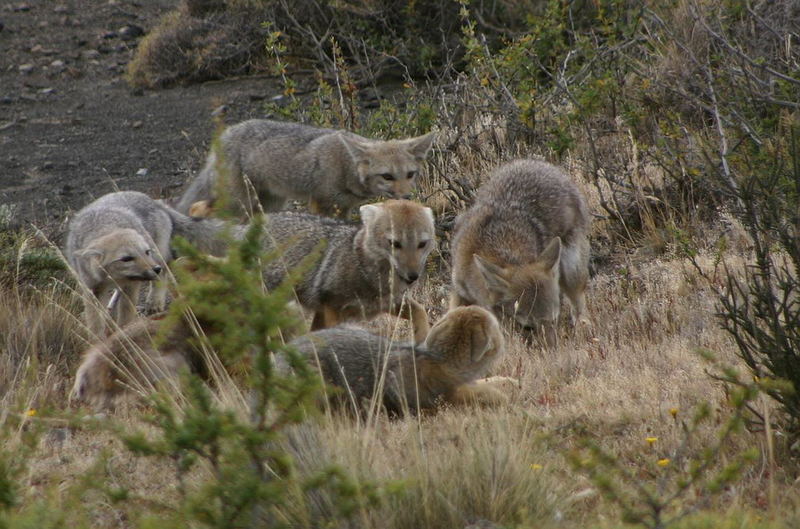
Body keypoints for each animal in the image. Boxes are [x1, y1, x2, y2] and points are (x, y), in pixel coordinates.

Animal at [66, 192, 173, 336]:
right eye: (126, 258)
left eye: (146, 252)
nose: (155, 269)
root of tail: (151, 199)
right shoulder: (92, 290)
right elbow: (95, 322)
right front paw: (97, 339)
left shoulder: (131, 286)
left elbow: (125, 315)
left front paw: (124, 333)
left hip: (158, 257)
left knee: (163, 276)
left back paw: (155, 303)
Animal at [169, 198, 438, 342]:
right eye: (395, 244)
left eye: (422, 244)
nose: (412, 277)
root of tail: (259, 220)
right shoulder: (332, 307)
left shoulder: (386, 304)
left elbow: (420, 310)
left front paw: (423, 339)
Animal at [175, 119, 434, 217]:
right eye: (387, 176)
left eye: (410, 174)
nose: (407, 197)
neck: (345, 166)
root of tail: (226, 133)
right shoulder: (321, 203)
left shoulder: (344, 208)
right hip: (238, 203)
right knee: (196, 209)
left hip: (265, 206)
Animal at [288, 306, 510, 412]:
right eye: (498, 329)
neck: (439, 359)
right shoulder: (442, 399)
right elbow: (485, 393)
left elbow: (488, 382)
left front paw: (508, 382)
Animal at [450, 159, 588, 344]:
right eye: (527, 327)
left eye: (554, 320)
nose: (553, 349)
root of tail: (540, 164)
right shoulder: (459, 292)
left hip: (571, 272)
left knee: (579, 304)